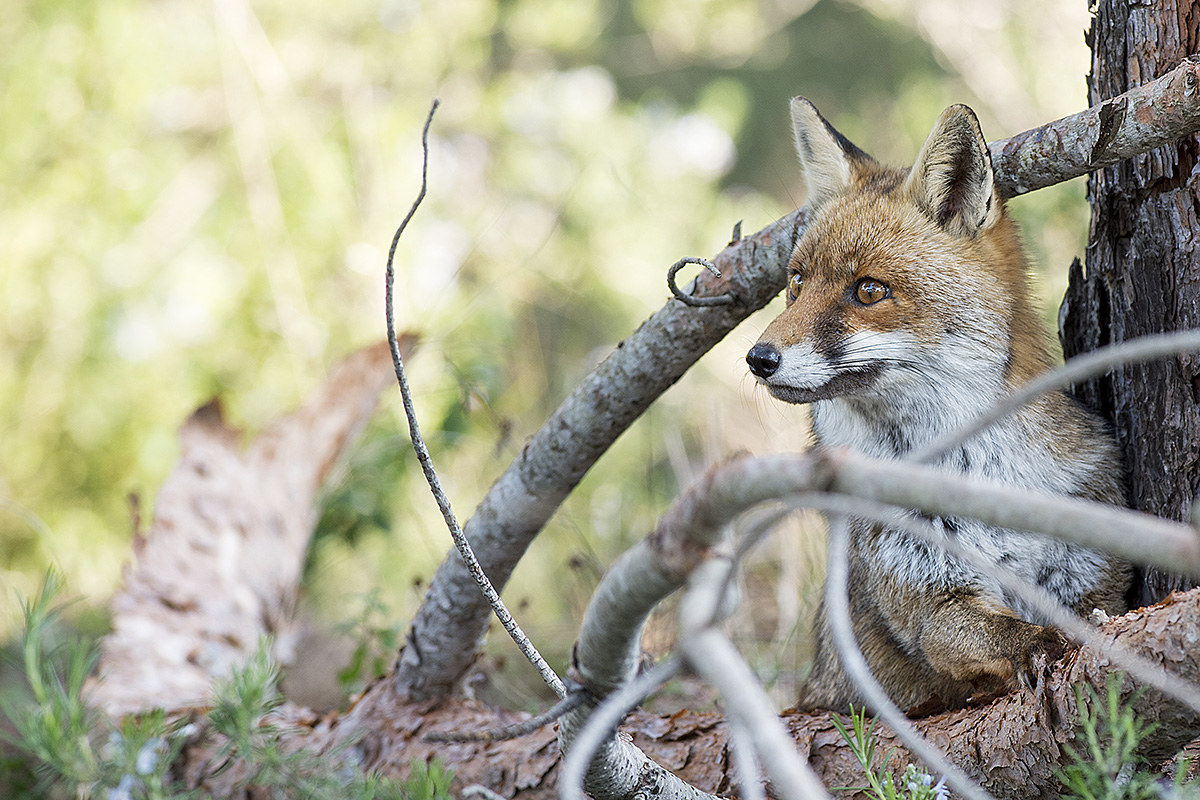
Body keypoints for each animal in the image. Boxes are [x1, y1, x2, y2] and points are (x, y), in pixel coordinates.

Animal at [746, 98, 1130, 713]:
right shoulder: (930, 598)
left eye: (869, 290)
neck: (981, 477)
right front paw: (1038, 648)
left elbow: (1090, 616)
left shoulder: (1092, 571)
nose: (758, 358)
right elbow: (999, 634)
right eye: (796, 283)